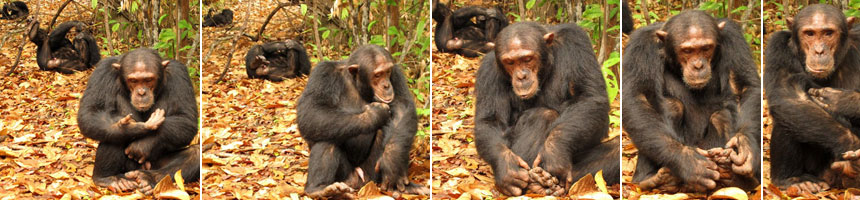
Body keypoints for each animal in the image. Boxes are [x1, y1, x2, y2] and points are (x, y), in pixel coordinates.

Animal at [77, 48, 198, 195]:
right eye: (133, 80)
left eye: (148, 79)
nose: (141, 92)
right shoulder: (102, 71)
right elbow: (89, 112)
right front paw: (132, 128)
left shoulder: (179, 75)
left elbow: (186, 118)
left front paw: (143, 145)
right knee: (113, 136)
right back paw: (108, 179)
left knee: (195, 153)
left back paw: (148, 178)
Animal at [298, 44, 428, 198]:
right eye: (377, 75)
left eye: (387, 72)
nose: (386, 85)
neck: (355, 83)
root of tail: (360, 183)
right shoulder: (322, 73)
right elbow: (311, 111)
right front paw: (374, 114)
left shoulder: (396, 73)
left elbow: (402, 106)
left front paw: (392, 161)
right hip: (346, 176)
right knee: (326, 136)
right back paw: (319, 189)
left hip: (372, 173)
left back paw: (406, 187)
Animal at [474, 21, 620, 197]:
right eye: (510, 62)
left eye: (527, 59)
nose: (521, 76)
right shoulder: (488, 71)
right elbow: (491, 120)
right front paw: (507, 168)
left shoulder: (576, 41)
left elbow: (589, 96)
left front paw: (553, 153)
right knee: (542, 114)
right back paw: (538, 182)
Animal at [620, 10, 764, 192]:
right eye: (687, 50)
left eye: (706, 48)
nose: (698, 65)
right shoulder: (641, 45)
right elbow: (636, 96)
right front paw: (689, 162)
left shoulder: (734, 37)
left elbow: (747, 86)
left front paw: (744, 146)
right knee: (671, 107)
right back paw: (654, 179)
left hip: (707, 148)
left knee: (721, 116)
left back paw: (736, 177)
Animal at [768, 3, 860, 194]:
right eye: (809, 33)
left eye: (828, 33)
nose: (819, 51)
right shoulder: (778, 47)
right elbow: (788, 93)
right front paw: (852, 145)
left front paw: (840, 100)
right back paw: (794, 180)